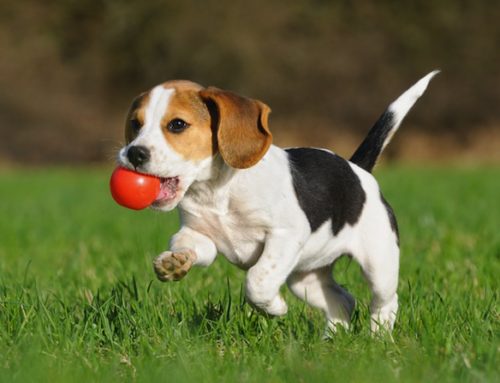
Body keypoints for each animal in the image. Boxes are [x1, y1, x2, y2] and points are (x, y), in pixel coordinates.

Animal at [117, 71, 438, 332]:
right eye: (135, 124)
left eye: (177, 124)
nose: (134, 153)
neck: (217, 190)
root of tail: (357, 168)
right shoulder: (200, 235)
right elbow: (187, 245)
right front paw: (175, 262)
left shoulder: (285, 235)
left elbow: (257, 280)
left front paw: (275, 308)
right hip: (305, 278)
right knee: (343, 301)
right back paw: (331, 341)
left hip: (379, 263)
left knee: (385, 302)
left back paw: (379, 338)